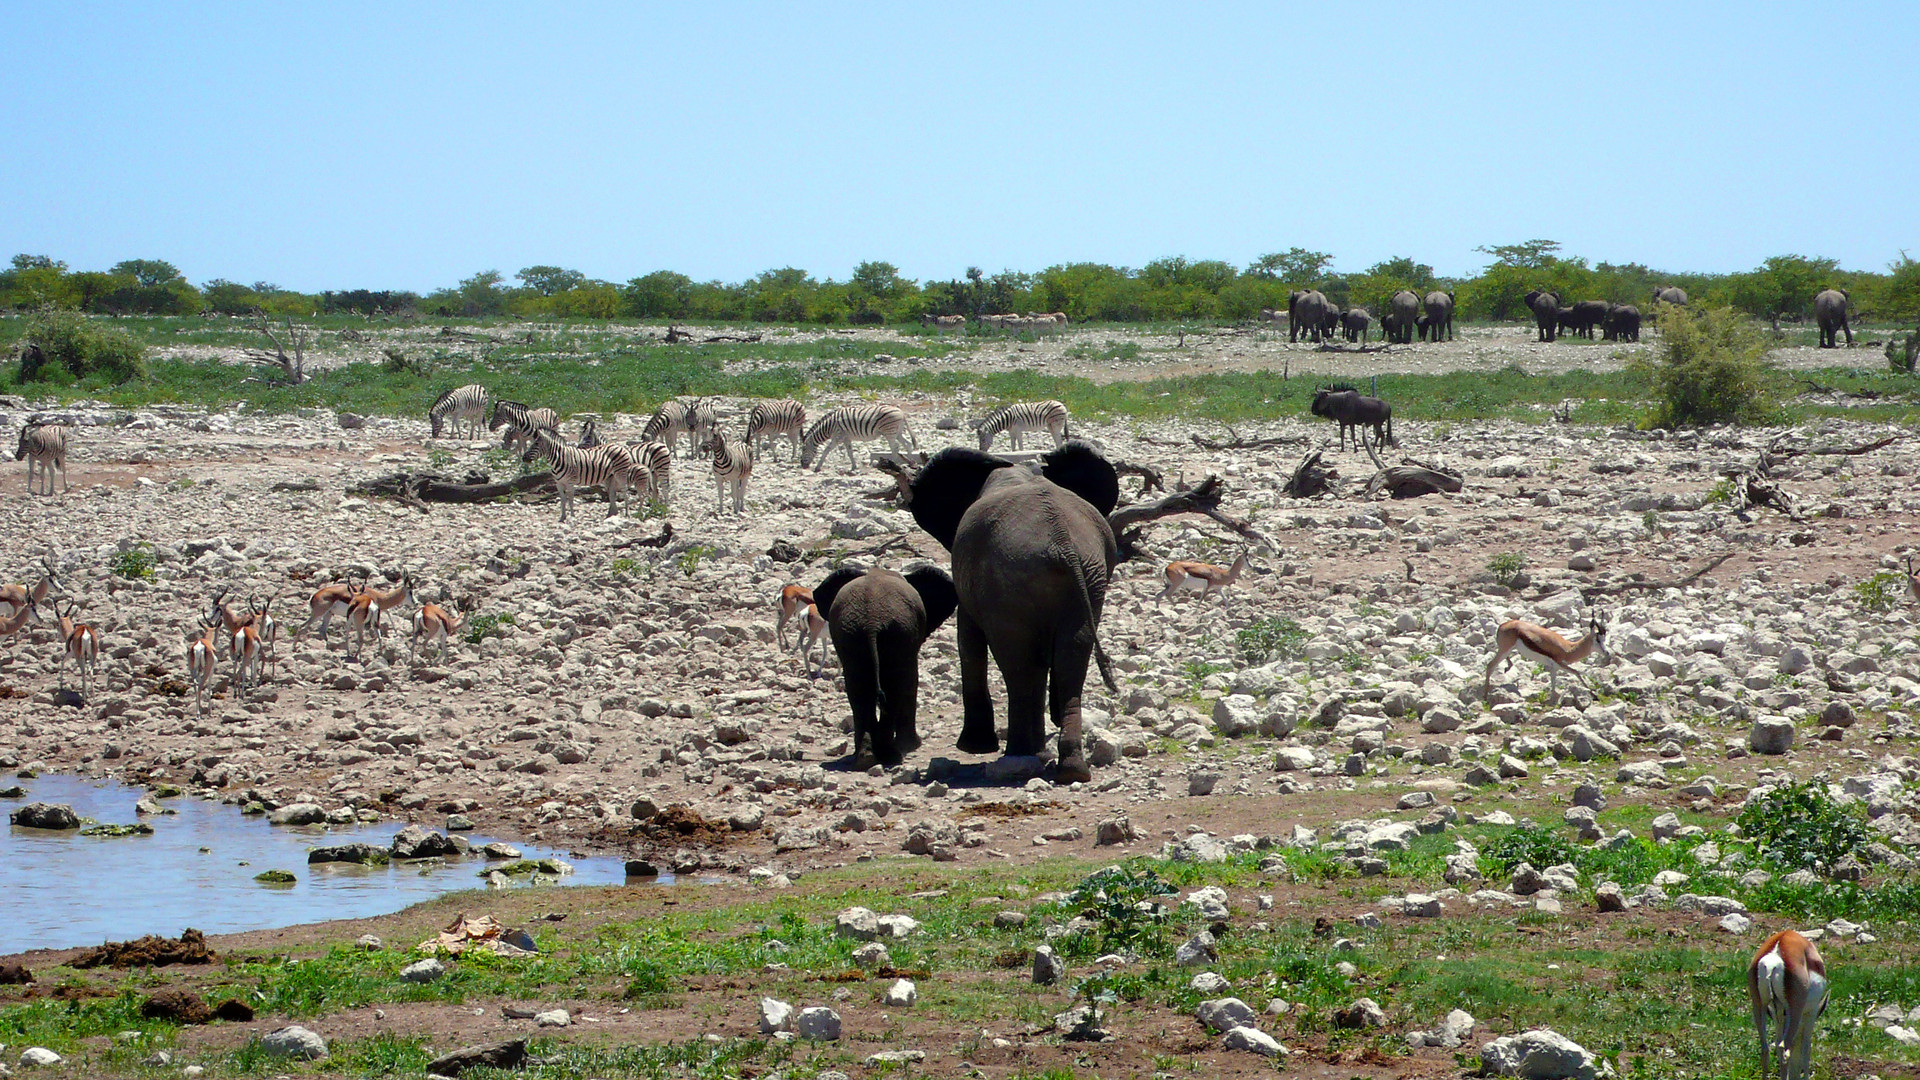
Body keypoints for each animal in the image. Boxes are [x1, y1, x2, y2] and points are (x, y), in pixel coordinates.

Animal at [810, 564, 960, 764]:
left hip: (851, 634)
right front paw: (913, 746)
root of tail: (871, 623)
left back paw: (865, 758)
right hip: (897, 632)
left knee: (858, 689)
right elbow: (911, 680)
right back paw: (891, 756)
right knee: (894, 687)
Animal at [902, 440, 1121, 780]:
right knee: (1070, 658)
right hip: (1090, 577)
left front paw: (973, 747)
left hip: (1009, 583)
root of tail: (1064, 545)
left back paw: (1018, 755)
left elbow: (969, 641)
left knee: (1017, 665)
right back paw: (1070, 769)